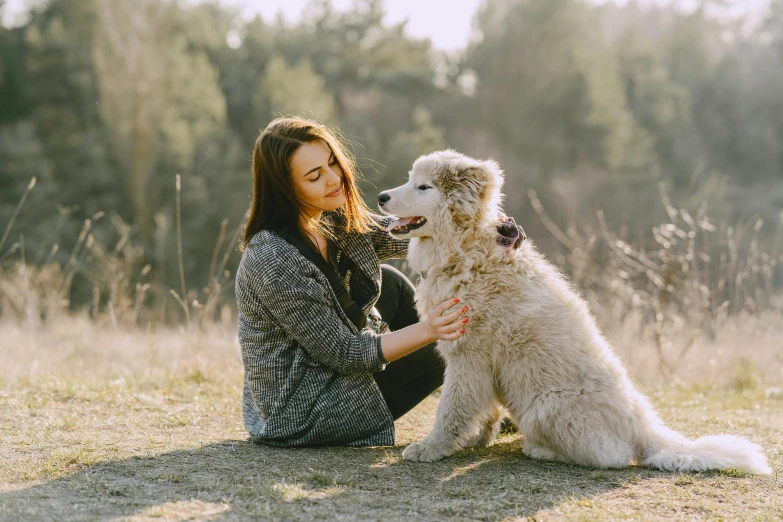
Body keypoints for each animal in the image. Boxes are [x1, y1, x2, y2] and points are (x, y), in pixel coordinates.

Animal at [378, 148, 772, 474]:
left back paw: (541, 450)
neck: (466, 251)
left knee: (612, 456)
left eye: (424, 186)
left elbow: (452, 408)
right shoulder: (476, 362)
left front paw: (431, 448)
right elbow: (483, 410)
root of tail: (643, 426)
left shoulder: (469, 355)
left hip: (544, 408)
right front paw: (475, 440)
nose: (381, 197)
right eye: (411, 180)